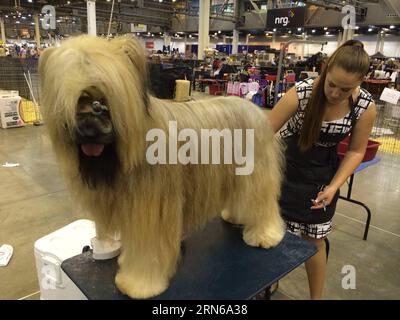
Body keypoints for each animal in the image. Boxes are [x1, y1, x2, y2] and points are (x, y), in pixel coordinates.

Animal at [38, 35, 284, 300]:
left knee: (263, 204)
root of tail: (254, 109)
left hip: (256, 176)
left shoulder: (151, 212)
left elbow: (147, 252)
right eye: (73, 102)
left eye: (101, 102)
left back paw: (265, 235)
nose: (88, 131)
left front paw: (138, 284)